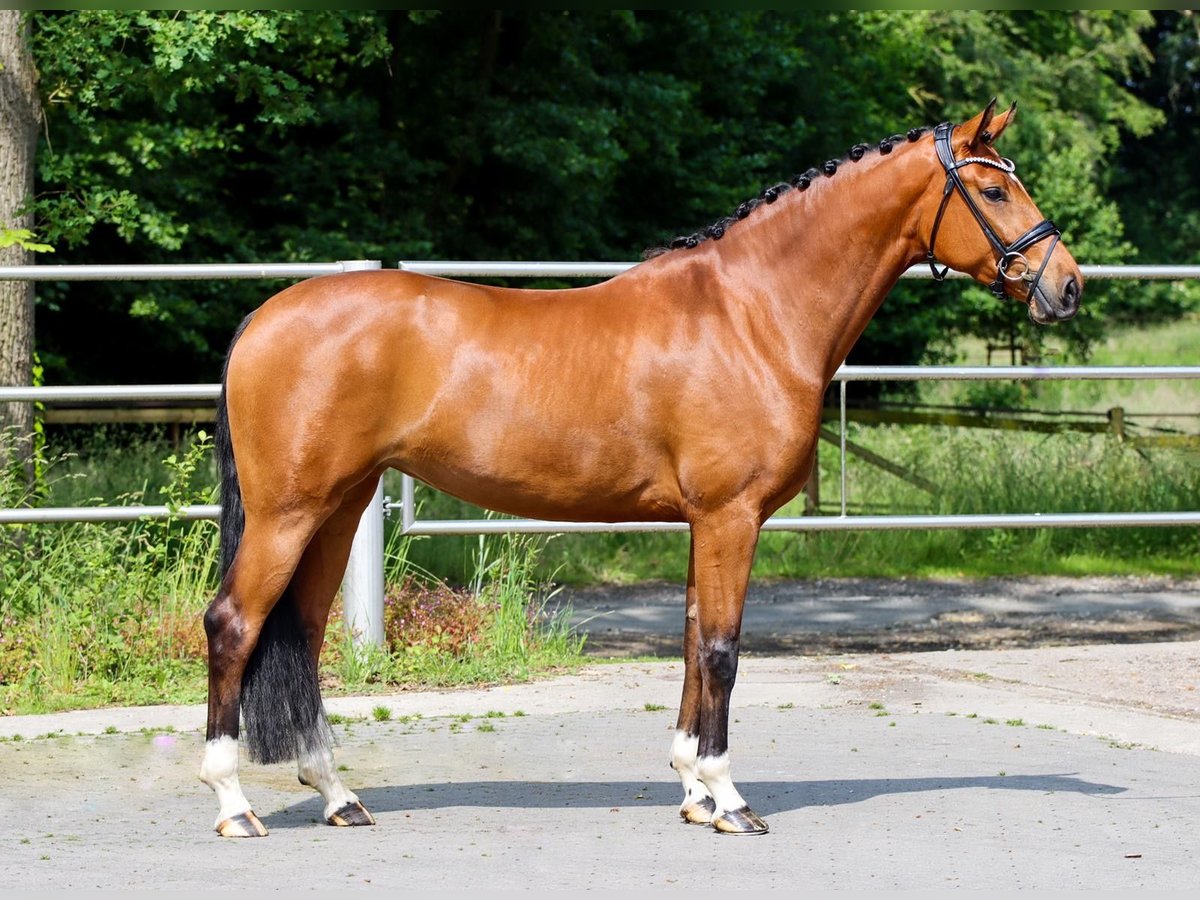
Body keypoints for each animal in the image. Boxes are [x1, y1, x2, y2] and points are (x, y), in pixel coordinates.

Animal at [201, 102, 1084, 844]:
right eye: (992, 189)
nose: (1066, 286)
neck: (751, 314)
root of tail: (263, 317)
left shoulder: (706, 521)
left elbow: (693, 642)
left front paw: (693, 791)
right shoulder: (730, 517)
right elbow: (723, 649)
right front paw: (730, 801)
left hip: (338, 508)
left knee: (303, 633)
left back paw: (337, 795)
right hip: (290, 512)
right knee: (235, 625)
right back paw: (236, 805)